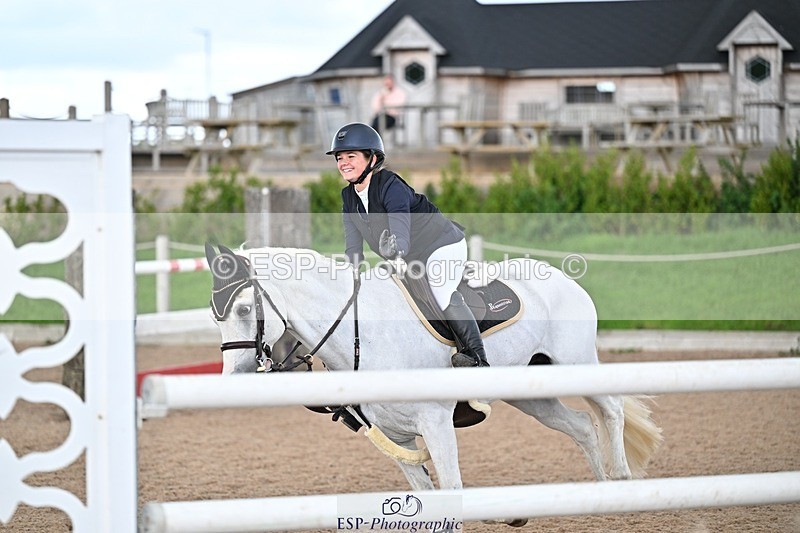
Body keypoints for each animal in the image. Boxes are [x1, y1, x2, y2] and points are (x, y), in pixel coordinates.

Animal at [203, 243, 662, 526]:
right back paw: (596, 491)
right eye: (214, 314)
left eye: (243, 309)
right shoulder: (397, 438)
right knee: (582, 425)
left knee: (611, 410)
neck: (362, 335)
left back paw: (620, 481)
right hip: (530, 394)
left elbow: (452, 488)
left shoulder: (436, 423)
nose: (234, 379)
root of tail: (563, 279)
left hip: (575, 363)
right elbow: (427, 494)